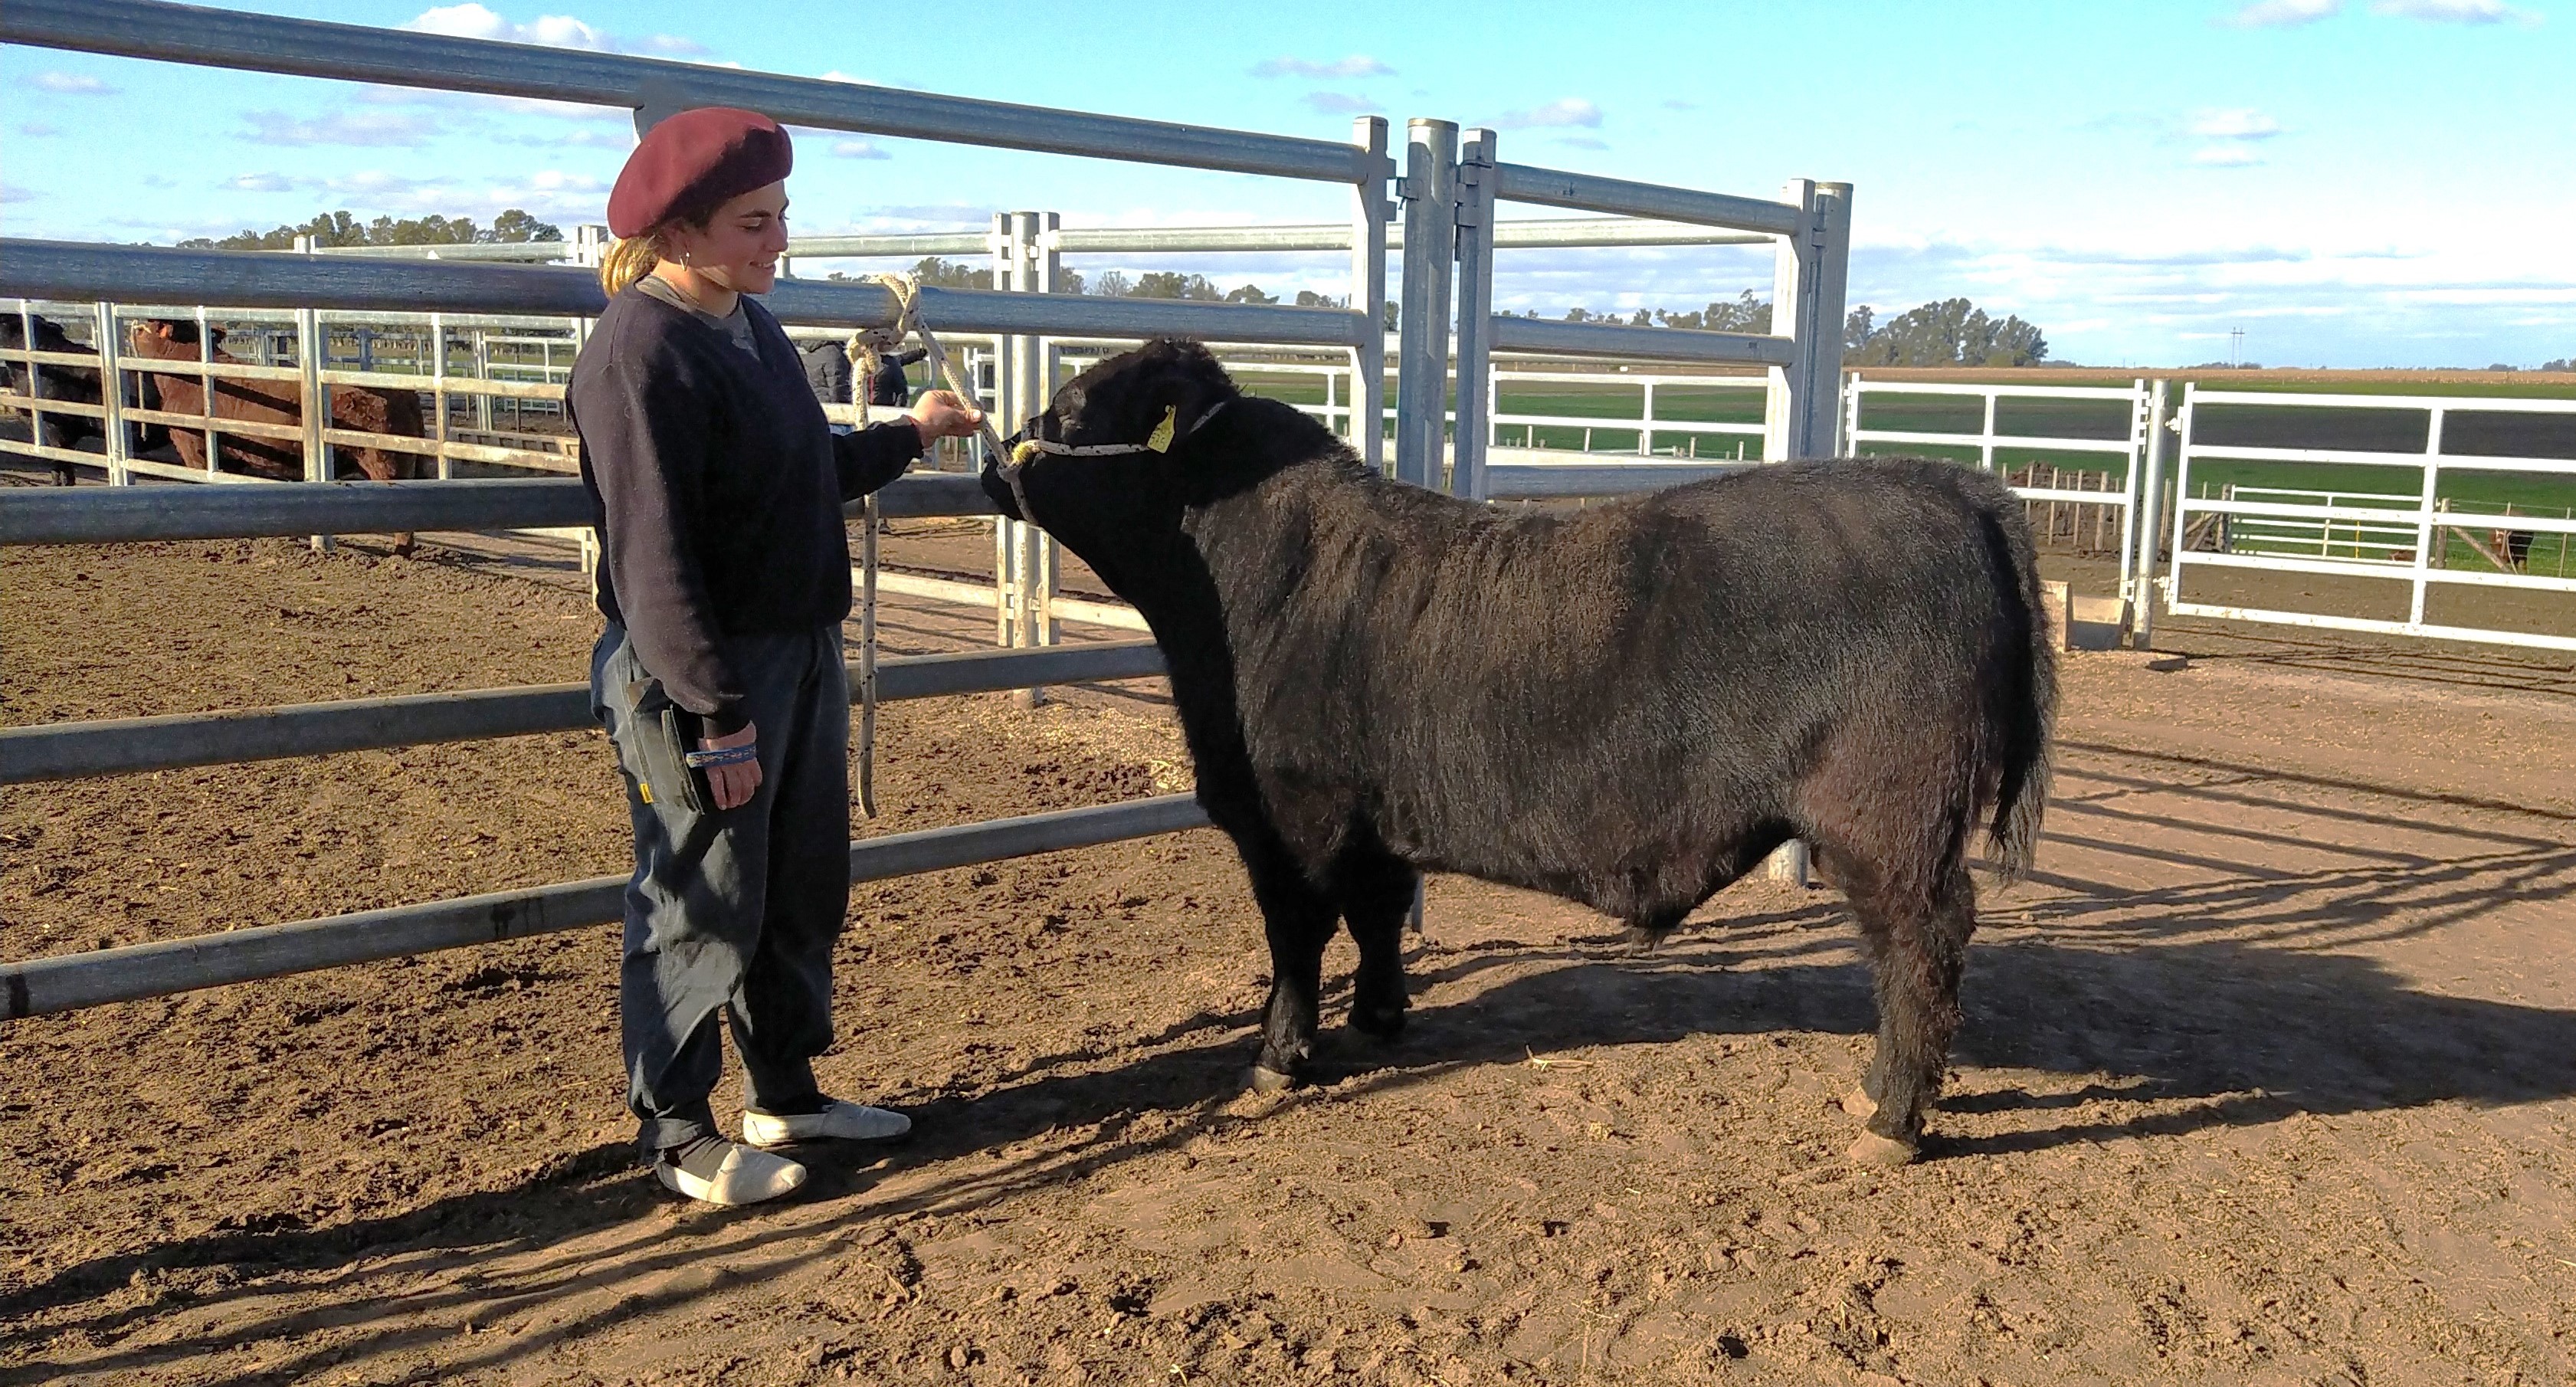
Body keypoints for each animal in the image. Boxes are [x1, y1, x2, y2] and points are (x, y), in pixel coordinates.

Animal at [984, 340, 2050, 1159]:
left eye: (1072, 405)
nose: (994, 455)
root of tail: (1955, 488)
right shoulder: (1371, 820)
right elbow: (1376, 916)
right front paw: (1379, 1018)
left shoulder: (1290, 815)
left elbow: (1295, 937)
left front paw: (1277, 1059)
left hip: (1890, 821)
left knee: (1921, 942)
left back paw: (1889, 1117)